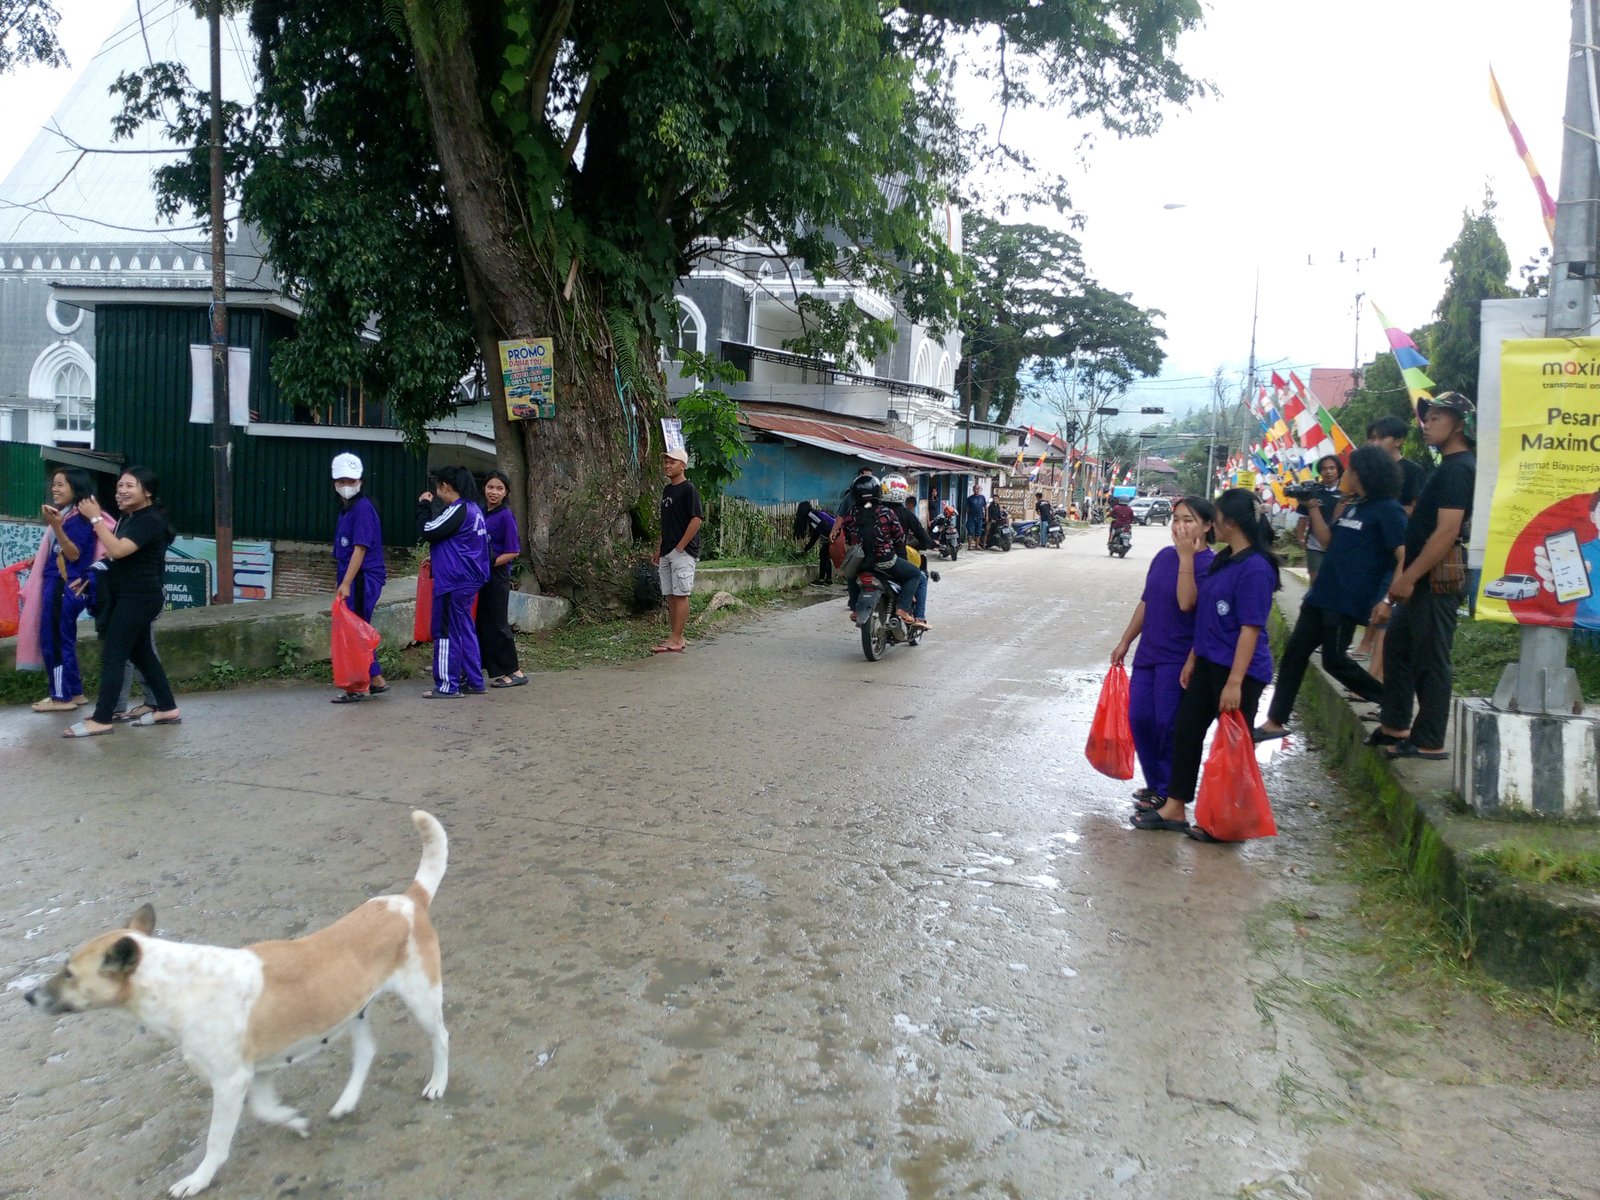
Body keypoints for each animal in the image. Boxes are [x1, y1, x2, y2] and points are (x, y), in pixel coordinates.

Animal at [25, 812, 451, 1196]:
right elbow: (264, 1109)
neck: (178, 984)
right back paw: (346, 1102)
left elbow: (216, 1140)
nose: (26, 995)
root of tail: (407, 900)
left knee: (441, 1038)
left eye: (68, 972)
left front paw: (198, 1179)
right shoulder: (257, 1071)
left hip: (422, 1000)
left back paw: (437, 1083)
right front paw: (294, 1121)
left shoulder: (229, 1082)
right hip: (351, 1010)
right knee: (366, 1051)